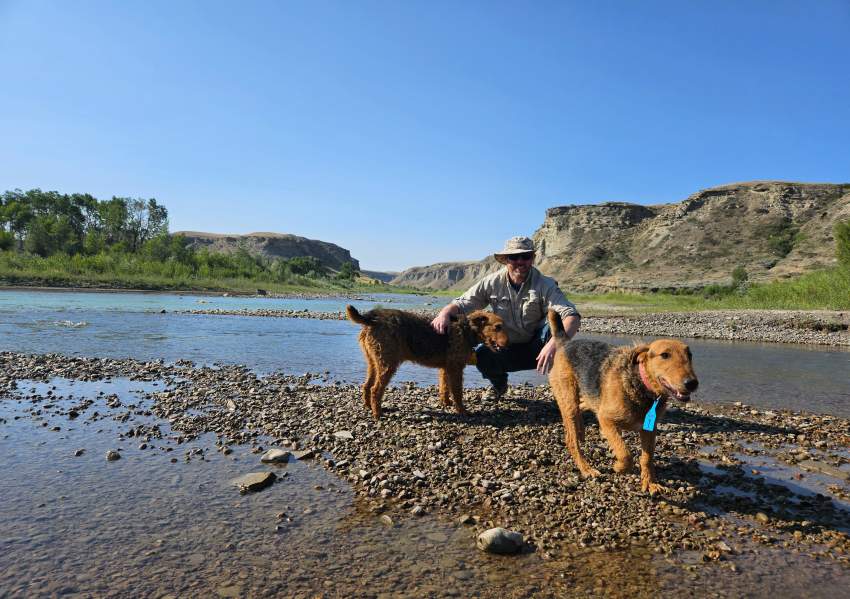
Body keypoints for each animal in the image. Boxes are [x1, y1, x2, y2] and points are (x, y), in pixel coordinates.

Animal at [346, 308, 506, 420]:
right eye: (497, 327)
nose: (507, 344)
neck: (467, 330)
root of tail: (372, 319)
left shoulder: (446, 368)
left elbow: (444, 387)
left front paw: (446, 403)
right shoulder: (456, 368)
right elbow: (457, 392)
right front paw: (462, 411)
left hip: (374, 362)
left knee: (367, 386)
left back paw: (368, 406)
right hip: (388, 364)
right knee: (375, 389)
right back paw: (378, 413)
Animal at [548, 308, 700, 494]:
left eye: (689, 355)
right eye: (664, 355)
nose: (692, 383)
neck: (641, 385)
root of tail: (565, 343)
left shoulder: (649, 430)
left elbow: (646, 459)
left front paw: (650, 483)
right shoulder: (606, 420)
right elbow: (626, 454)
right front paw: (619, 467)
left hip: (587, 398)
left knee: (581, 408)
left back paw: (581, 432)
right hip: (568, 399)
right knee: (571, 439)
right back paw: (586, 468)